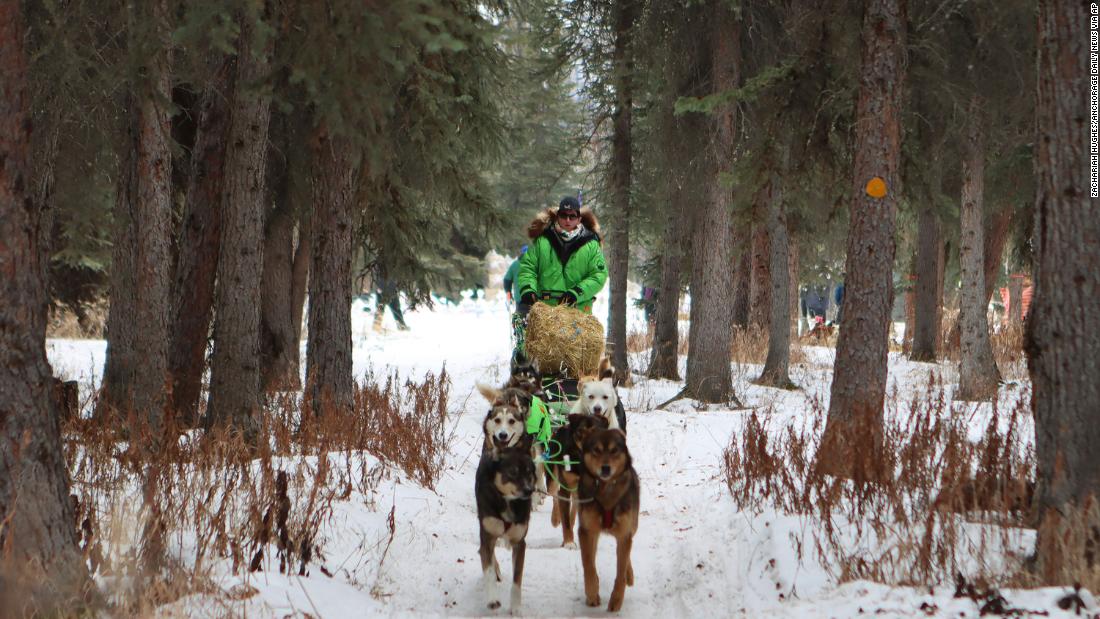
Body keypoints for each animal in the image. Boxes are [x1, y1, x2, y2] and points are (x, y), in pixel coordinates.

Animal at [477, 448, 536, 611]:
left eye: (529, 472)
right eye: (513, 472)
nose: (529, 490)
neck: (508, 501)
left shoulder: (520, 543)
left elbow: (517, 580)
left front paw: (515, 608)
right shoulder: (487, 537)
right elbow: (489, 570)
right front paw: (492, 599)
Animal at [547, 413, 611, 549]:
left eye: (595, 431)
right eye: (580, 431)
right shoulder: (565, 488)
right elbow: (565, 520)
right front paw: (569, 543)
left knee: (574, 508)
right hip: (552, 478)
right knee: (555, 495)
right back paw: (555, 518)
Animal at [576, 428, 638, 611]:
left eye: (614, 450)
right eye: (596, 450)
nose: (605, 468)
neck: (605, 489)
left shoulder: (624, 533)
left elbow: (620, 570)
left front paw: (616, 600)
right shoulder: (586, 530)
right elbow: (588, 565)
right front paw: (592, 593)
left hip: (633, 525)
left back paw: (629, 575)